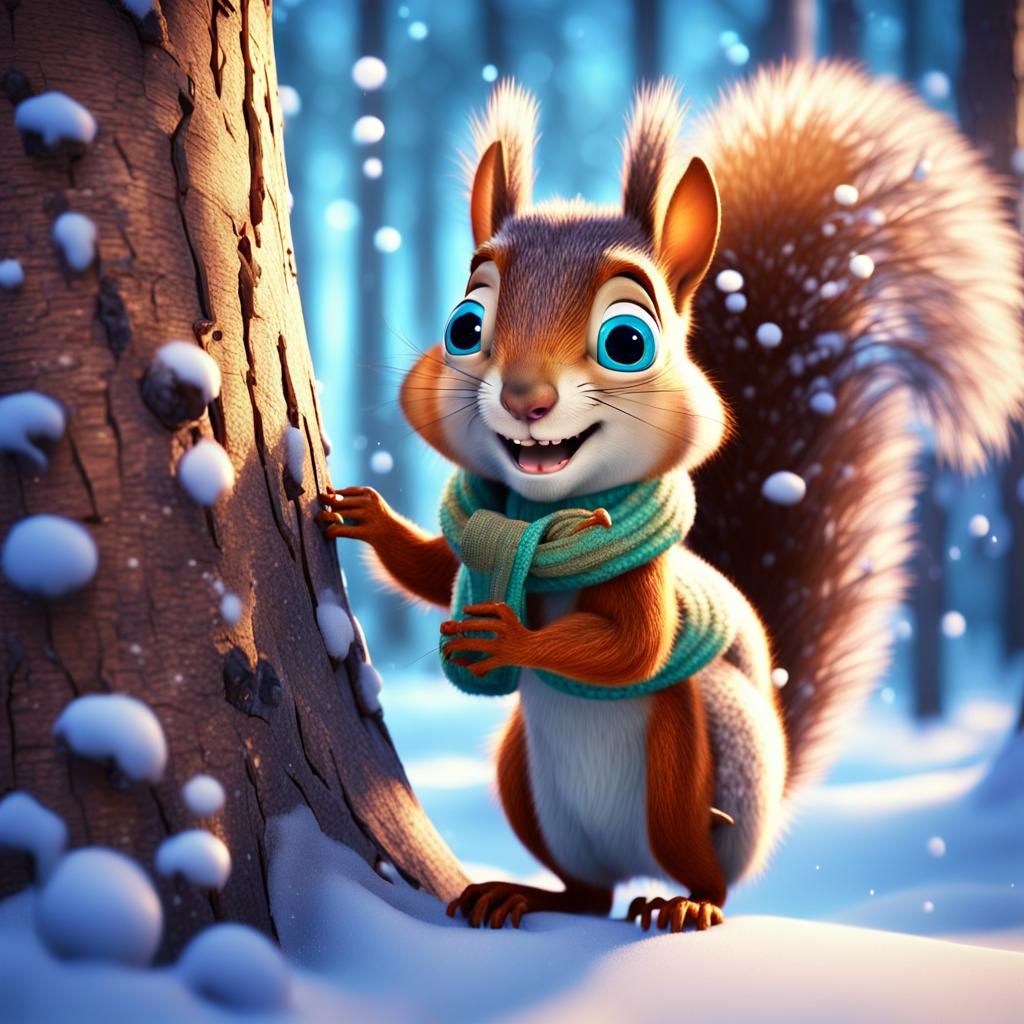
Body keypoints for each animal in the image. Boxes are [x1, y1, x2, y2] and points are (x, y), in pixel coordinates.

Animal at [318, 62, 1024, 934]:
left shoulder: (643, 576)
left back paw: (684, 904)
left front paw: (508, 635)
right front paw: (366, 515)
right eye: (464, 326)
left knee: (700, 870)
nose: (524, 399)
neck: (540, 517)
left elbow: (637, 648)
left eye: (629, 341)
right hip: (526, 784)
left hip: (696, 759)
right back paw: (520, 892)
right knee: (585, 894)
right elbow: (433, 570)